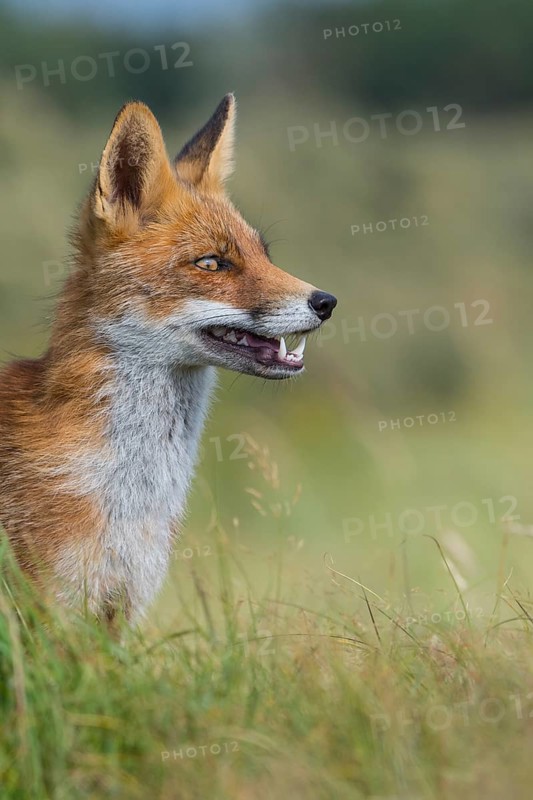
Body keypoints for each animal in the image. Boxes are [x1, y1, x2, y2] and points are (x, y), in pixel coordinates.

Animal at [0, 94, 337, 623]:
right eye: (212, 263)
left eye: (264, 254)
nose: (326, 302)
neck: (132, 494)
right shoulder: (51, 606)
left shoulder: (120, 605)